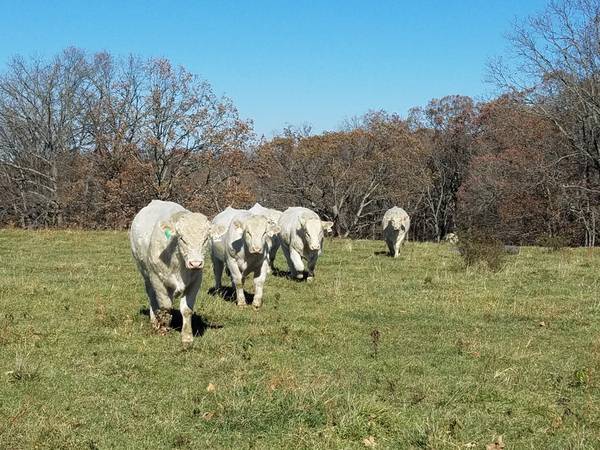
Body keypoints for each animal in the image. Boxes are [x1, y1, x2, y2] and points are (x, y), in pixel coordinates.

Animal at [130, 200, 226, 344]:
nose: (195, 263)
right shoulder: (157, 279)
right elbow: (165, 307)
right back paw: (154, 321)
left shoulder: (195, 281)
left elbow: (186, 309)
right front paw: (162, 330)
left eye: (206, 239)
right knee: (152, 296)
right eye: (182, 239)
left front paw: (187, 337)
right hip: (146, 274)